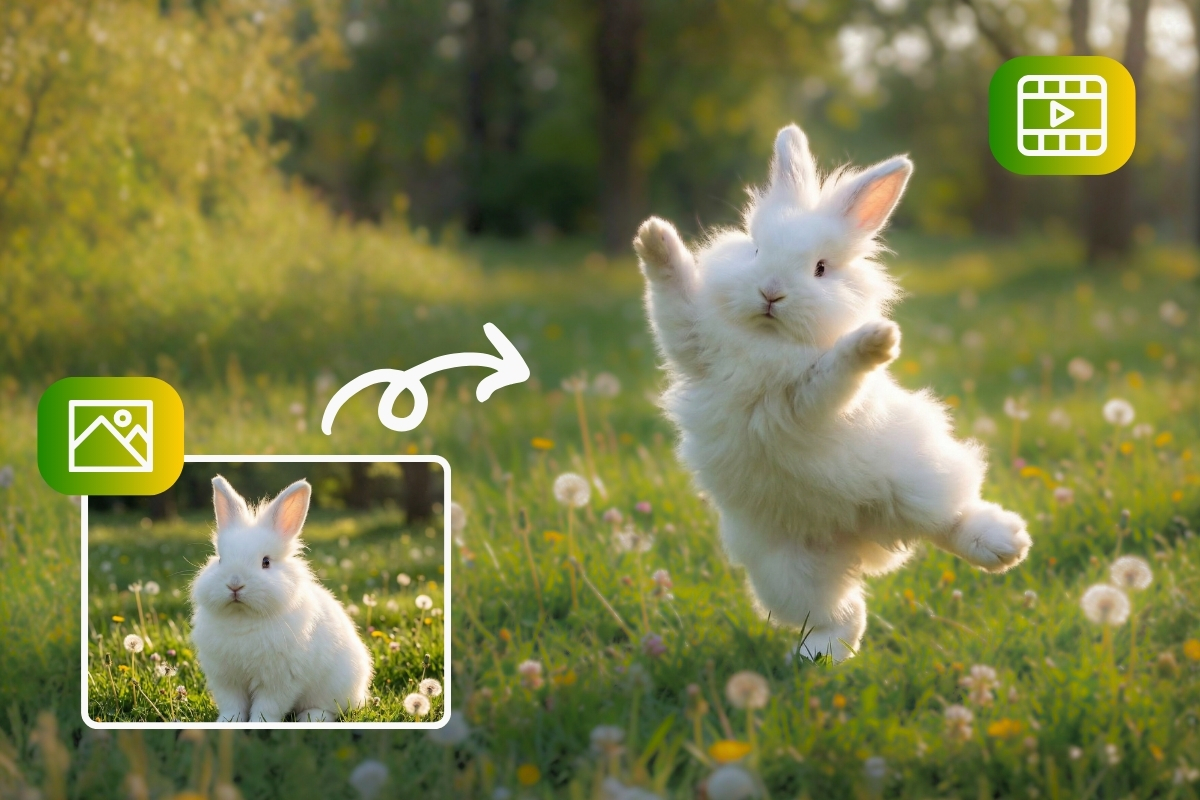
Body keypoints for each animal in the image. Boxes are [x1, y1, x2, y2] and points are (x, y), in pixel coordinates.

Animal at [190, 476, 373, 722]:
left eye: (266, 562)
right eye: (220, 559)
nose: (235, 584)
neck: (243, 618)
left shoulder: (278, 681)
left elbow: (267, 708)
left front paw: (258, 724)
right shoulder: (227, 680)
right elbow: (232, 705)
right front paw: (228, 722)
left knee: (329, 708)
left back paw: (311, 717)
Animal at [634, 124, 1031, 661]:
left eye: (821, 268)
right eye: (755, 249)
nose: (771, 292)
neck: (769, 339)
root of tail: (865, 536)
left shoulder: (806, 400)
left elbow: (836, 371)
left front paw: (878, 339)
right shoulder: (693, 341)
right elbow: (670, 297)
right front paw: (654, 235)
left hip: (922, 479)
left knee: (952, 520)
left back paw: (1006, 547)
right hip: (788, 571)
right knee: (844, 614)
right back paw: (816, 657)